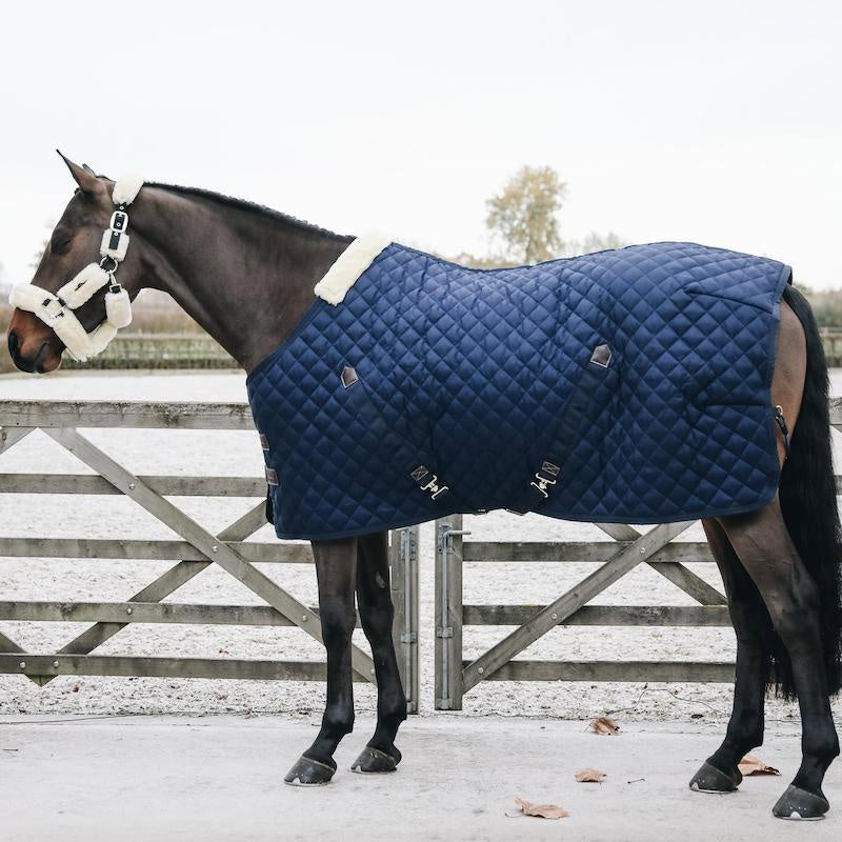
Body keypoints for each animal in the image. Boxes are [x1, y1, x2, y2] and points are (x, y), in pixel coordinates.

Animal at [6, 154, 840, 816]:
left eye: (63, 239)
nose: (21, 341)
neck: (295, 307)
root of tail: (778, 286)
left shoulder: (330, 505)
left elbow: (336, 620)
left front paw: (322, 747)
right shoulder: (365, 498)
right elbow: (378, 614)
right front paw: (381, 741)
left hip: (742, 503)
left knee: (794, 607)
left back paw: (805, 782)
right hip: (721, 494)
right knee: (748, 617)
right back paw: (725, 763)